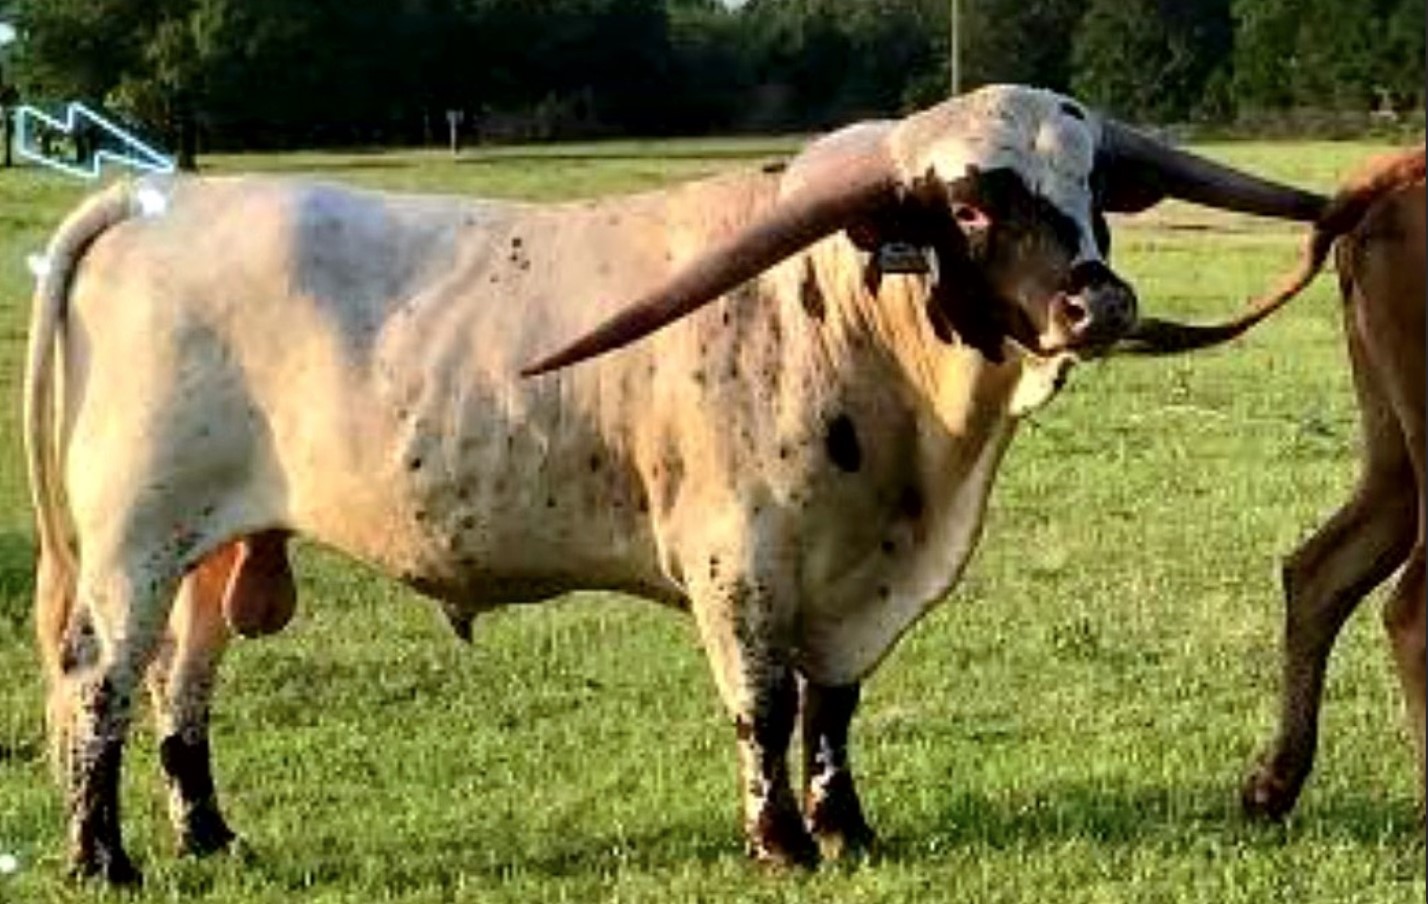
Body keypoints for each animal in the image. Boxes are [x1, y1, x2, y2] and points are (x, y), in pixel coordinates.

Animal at [25, 85, 1327, 884]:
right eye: (968, 202)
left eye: (1094, 188)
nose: (1098, 302)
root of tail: (161, 198)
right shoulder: (736, 559)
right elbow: (763, 705)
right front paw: (781, 841)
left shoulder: (856, 582)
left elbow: (832, 707)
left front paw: (848, 828)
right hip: (133, 539)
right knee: (98, 681)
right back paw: (103, 859)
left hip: (212, 548)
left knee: (181, 687)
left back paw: (208, 834)